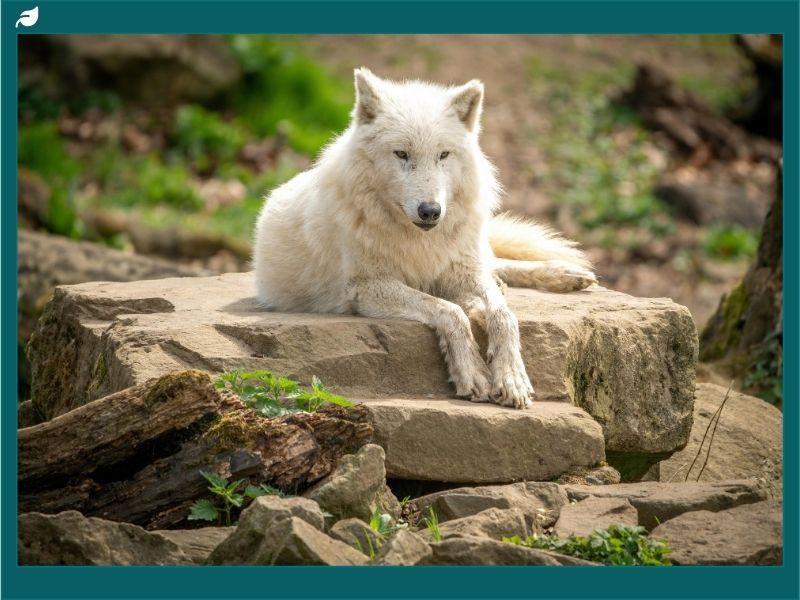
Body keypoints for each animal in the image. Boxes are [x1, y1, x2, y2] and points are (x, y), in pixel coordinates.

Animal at [253, 68, 596, 410]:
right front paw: (472, 373)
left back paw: (564, 274)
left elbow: (503, 315)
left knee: (494, 265)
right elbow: (450, 312)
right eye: (402, 154)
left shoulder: (462, 271)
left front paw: (512, 378)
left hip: (472, 253)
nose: (430, 211)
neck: (420, 241)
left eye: (443, 155)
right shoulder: (366, 288)